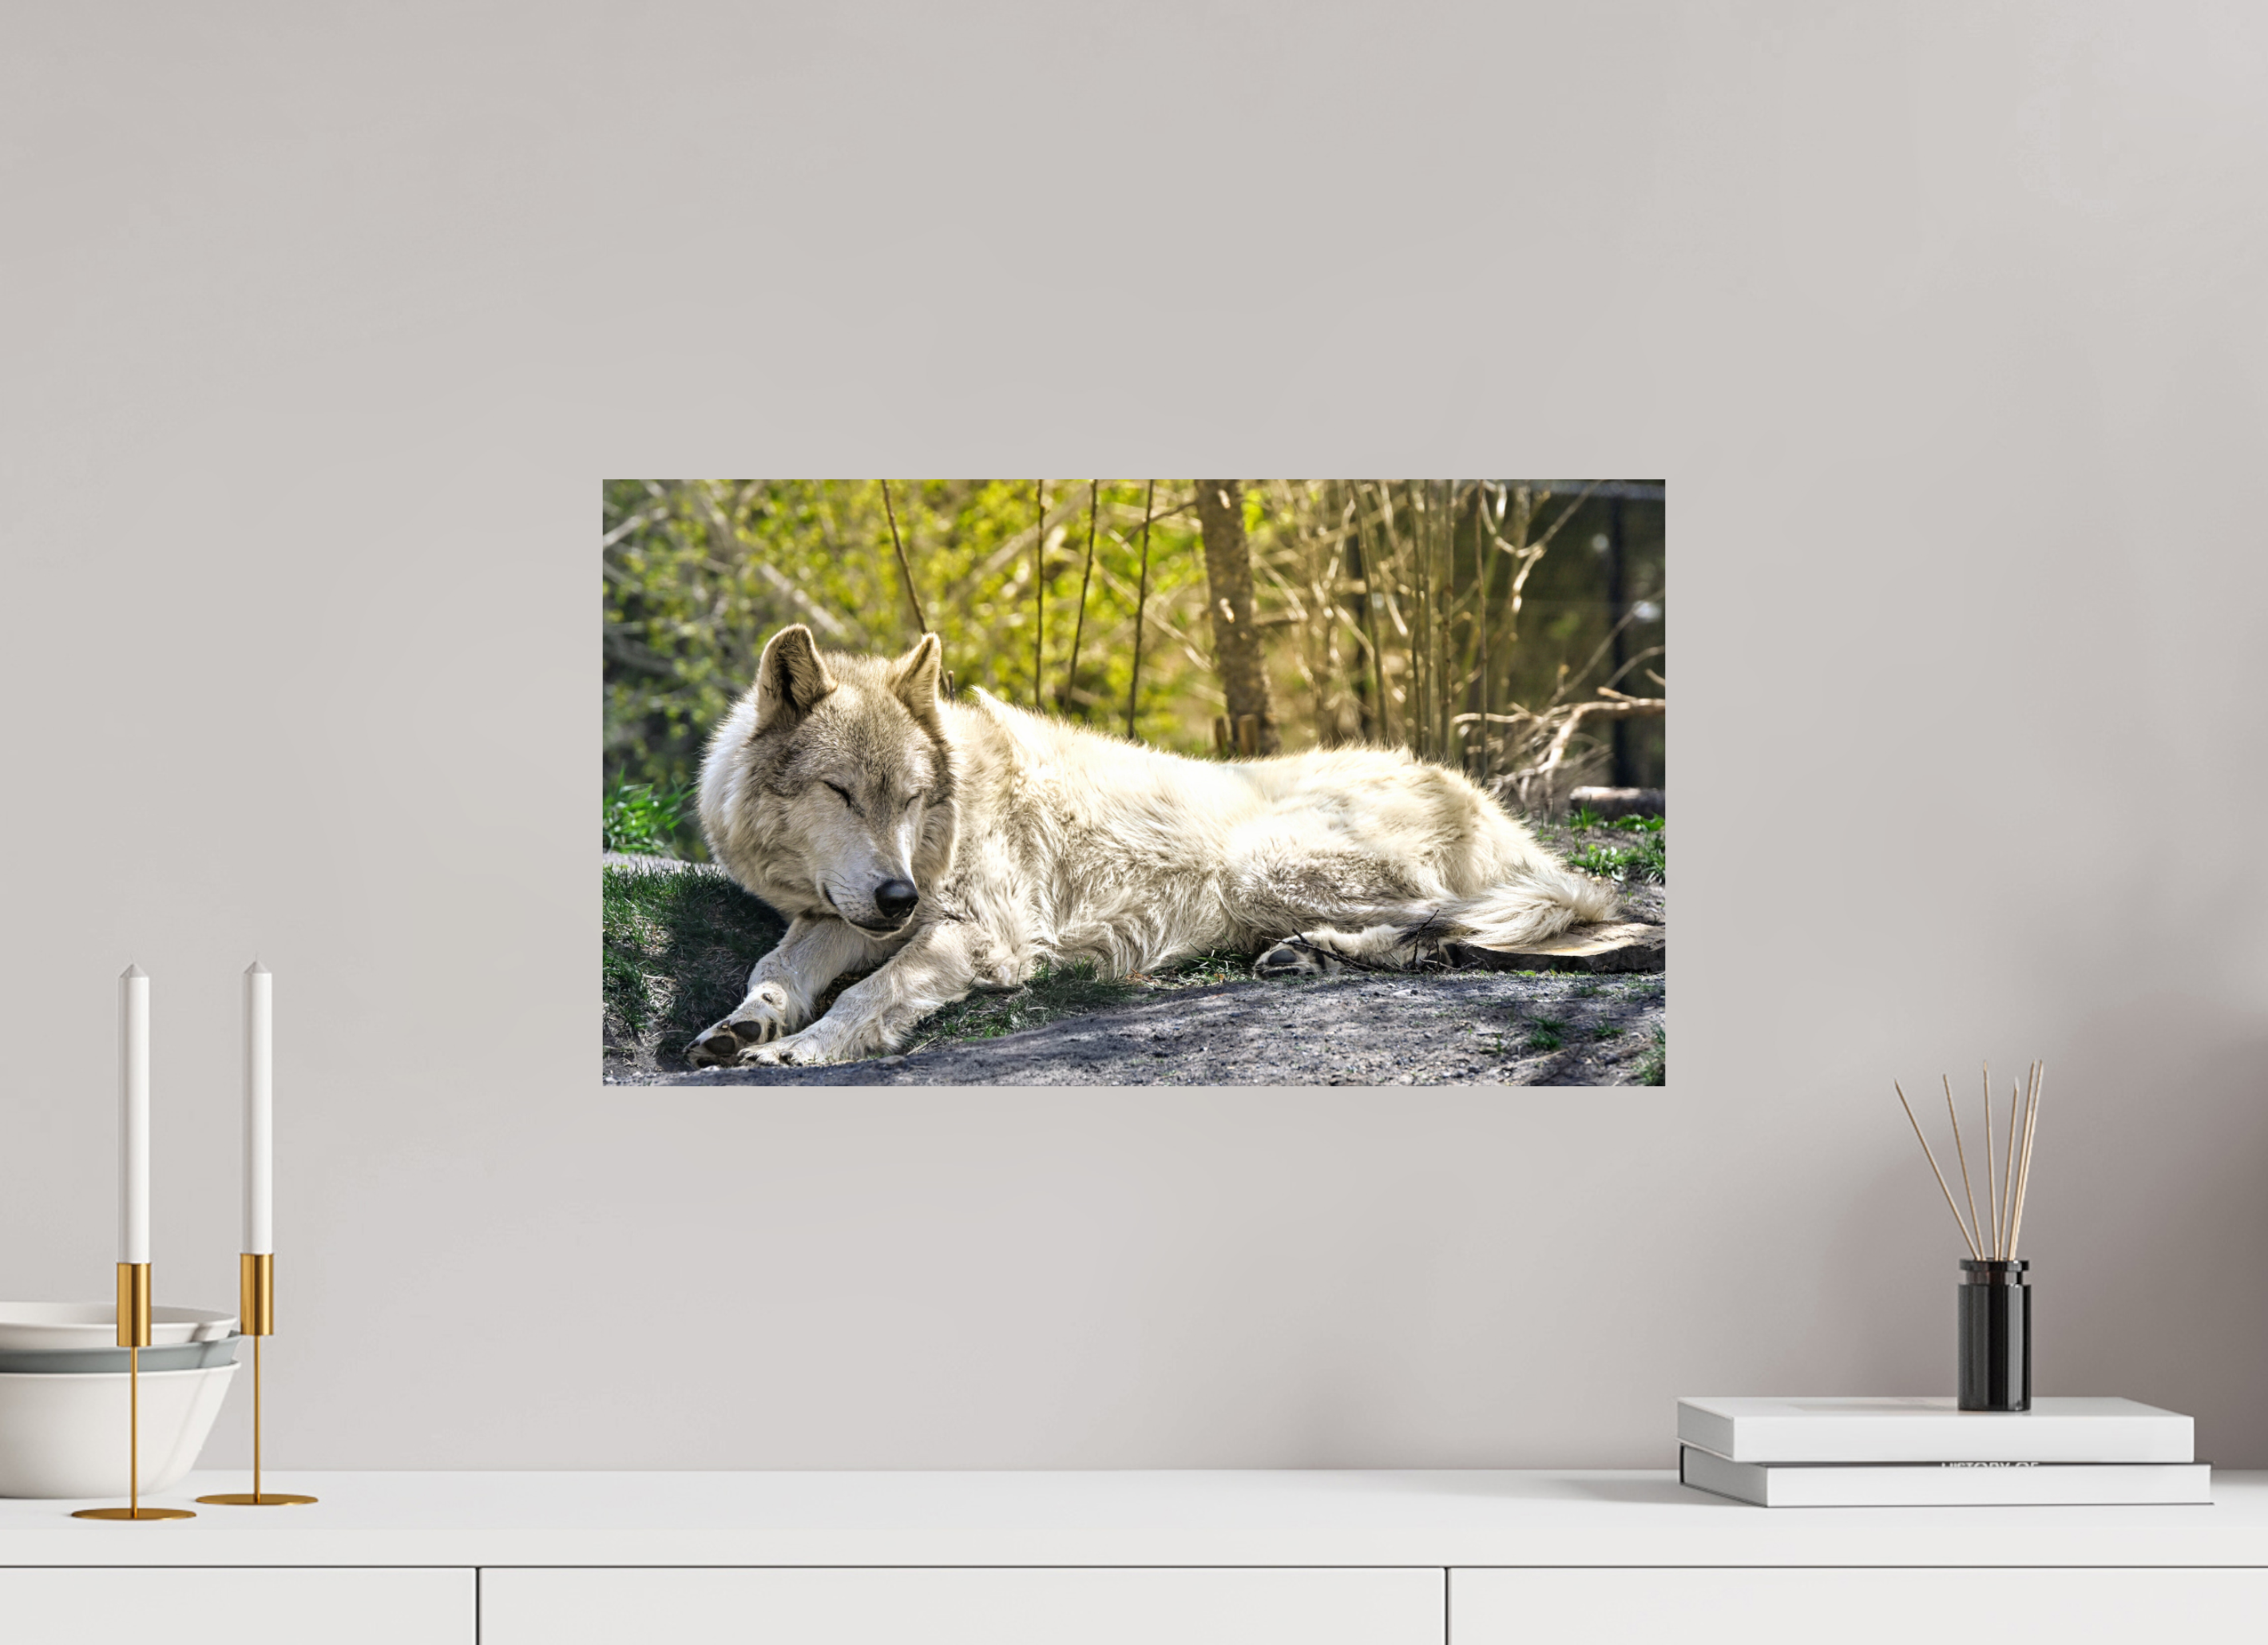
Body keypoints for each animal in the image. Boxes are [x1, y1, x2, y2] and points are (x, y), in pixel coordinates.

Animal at [684, 624, 1620, 1068]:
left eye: (911, 798)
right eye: (842, 793)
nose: (898, 896)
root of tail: (1489, 806)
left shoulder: (981, 935)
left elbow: (870, 992)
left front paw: (800, 1047)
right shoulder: (837, 913)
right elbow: (774, 966)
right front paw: (741, 1025)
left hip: (1261, 863)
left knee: (1464, 919)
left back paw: (1320, 950)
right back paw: (1305, 953)